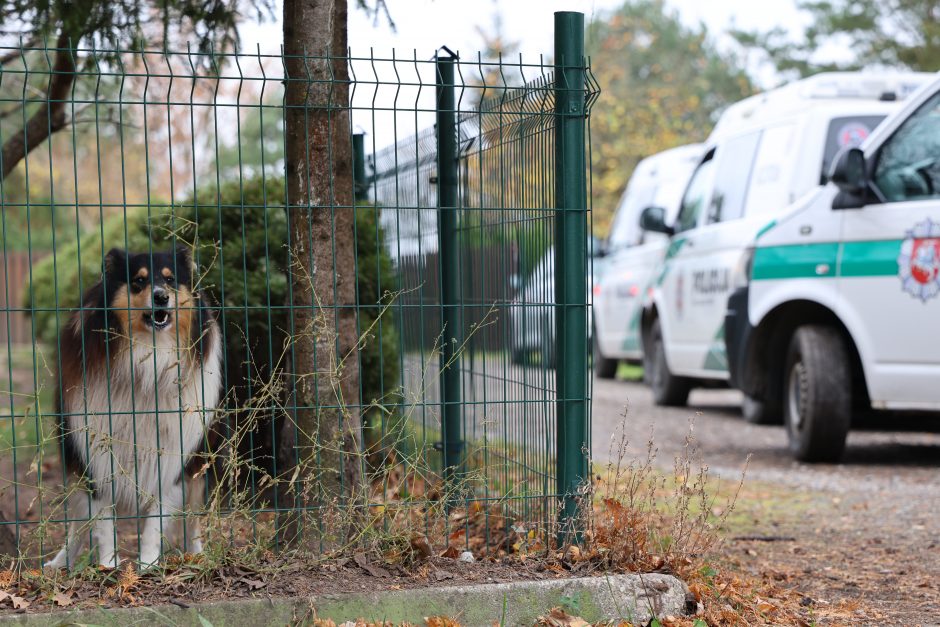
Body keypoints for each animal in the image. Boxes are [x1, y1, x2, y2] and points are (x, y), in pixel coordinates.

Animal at [48, 249, 223, 568]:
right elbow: (103, 524)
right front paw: (108, 566)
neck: (147, 364)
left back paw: (197, 555)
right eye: (139, 281)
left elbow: (155, 521)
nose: (161, 297)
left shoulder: (172, 458)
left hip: (200, 461)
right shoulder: (96, 459)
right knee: (77, 524)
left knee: (192, 519)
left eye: (170, 279)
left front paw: (148, 565)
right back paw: (59, 563)